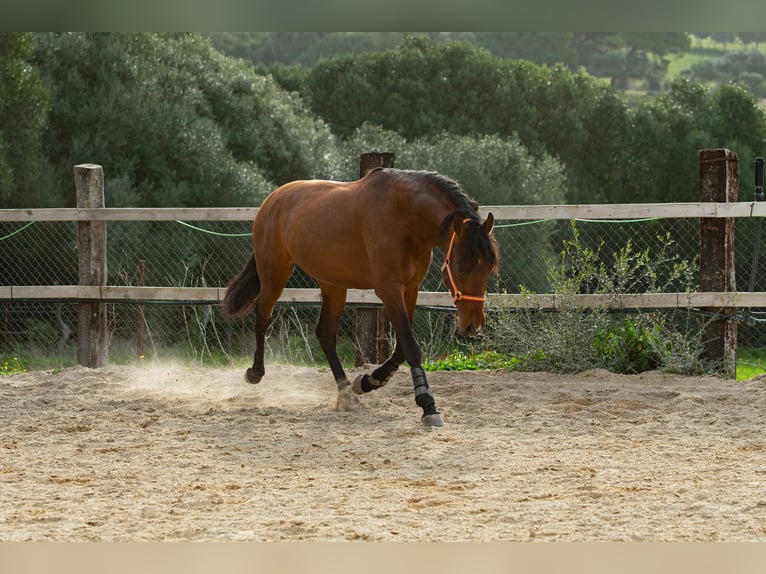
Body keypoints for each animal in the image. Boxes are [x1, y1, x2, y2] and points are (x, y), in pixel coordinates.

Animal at [222, 167, 499, 427]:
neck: (404, 217)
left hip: (333, 284)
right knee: (262, 318)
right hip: (274, 274)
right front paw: (428, 405)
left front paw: (368, 381)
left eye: (489, 267)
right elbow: (410, 346)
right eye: (461, 267)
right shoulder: (389, 289)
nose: (473, 325)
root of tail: (272, 199)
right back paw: (255, 373)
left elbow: (401, 348)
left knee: (325, 334)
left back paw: (347, 393)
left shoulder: (410, 289)